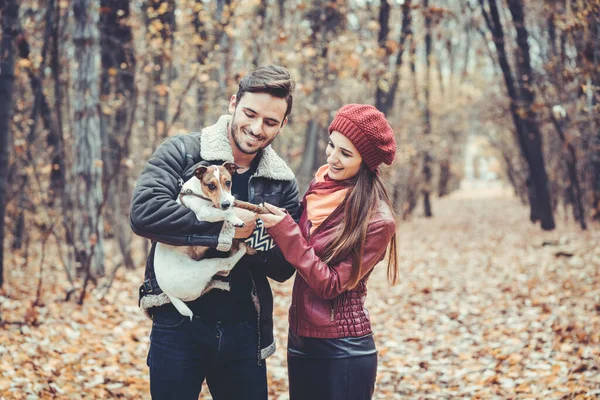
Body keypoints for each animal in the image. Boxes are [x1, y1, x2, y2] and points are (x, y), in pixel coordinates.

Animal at [155, 161, 251, 320]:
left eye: (228, 182)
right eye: (211, 185)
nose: (226, 203)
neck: (199, 192)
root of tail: (170, 294)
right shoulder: (204, 214)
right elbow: (227, 213)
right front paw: (235, 219)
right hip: (206, 266)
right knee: (227, 265)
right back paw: (241, 248)